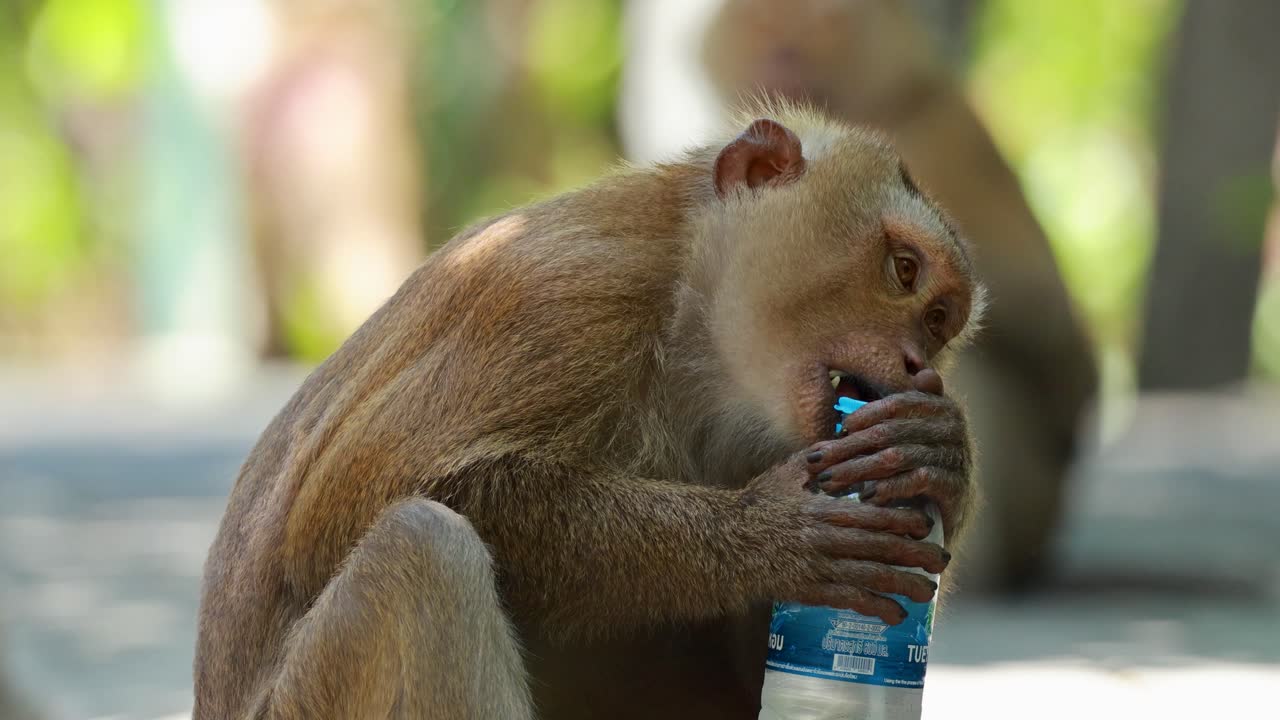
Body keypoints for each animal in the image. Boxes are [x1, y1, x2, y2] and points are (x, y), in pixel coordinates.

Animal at [194, 103, 985, 720]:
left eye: (938, 322)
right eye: (903, 269)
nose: (918, 366)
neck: (690, 317)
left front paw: (937, 454)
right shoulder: (563, 294)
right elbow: (338, 509)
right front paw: (770, 533)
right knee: (422, 548)